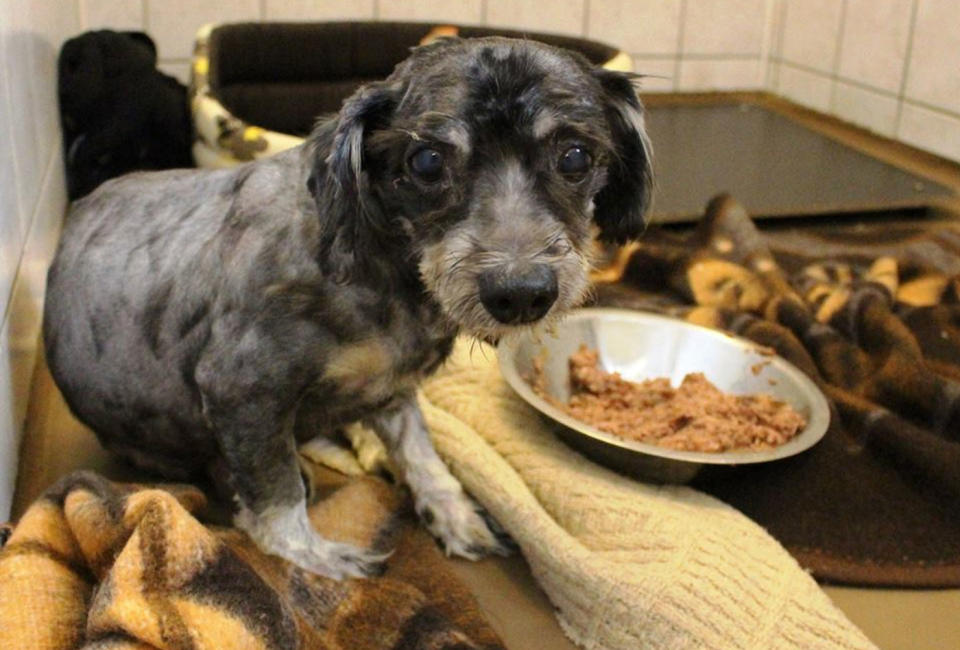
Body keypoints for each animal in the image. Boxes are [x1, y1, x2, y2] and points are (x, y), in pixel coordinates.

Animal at [43, 36, 652, 576]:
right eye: (426, 162)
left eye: (576, 156)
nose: (521, 292)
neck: (385, 271)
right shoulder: (242, 390)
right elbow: (277, 496)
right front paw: (311, 555)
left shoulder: (394, 388)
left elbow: (422, 454)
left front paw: (456, 515)